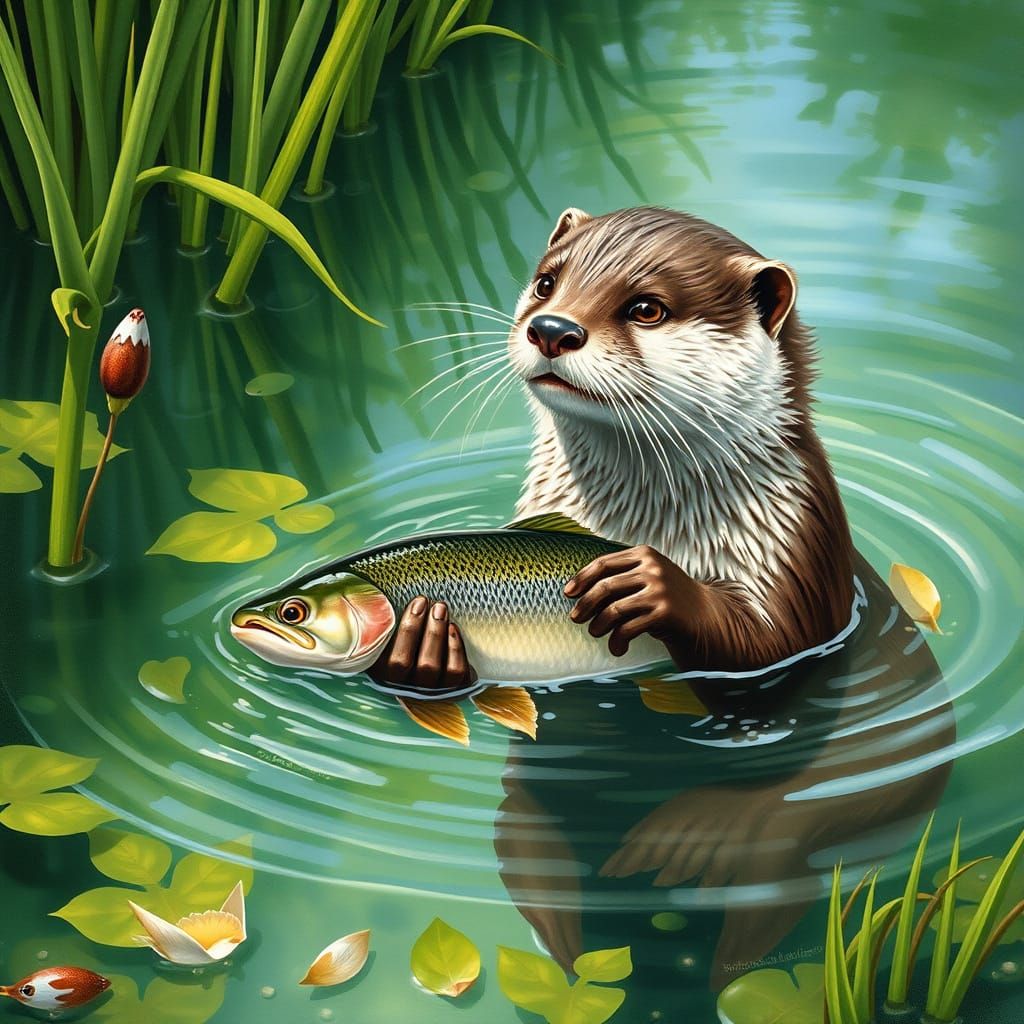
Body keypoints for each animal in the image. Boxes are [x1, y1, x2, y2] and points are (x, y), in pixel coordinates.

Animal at [371, 205, 855, 686]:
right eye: (546, 283)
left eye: (646, 309)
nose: (551, 328)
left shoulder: (793, 553)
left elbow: (769, 645)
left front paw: (657, 587)